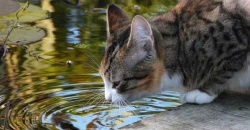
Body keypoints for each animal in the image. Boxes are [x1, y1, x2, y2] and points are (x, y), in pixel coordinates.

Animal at [98, 0, 250, 104]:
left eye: (117, 83)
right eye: (103, 79)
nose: (107, 99)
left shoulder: (237, 41)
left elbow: (225, 68)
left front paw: (203, 92)